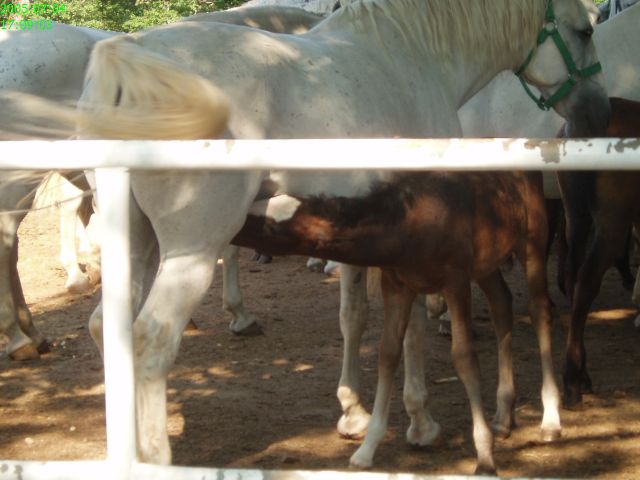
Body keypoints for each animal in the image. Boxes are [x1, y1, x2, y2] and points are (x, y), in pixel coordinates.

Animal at [4, 0, 608, 473]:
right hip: (191, 249)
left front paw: (355, 414)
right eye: (584, 28)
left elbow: (355, 317)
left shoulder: (365, 238)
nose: (595, 111)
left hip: (136, 240)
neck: (410, 56)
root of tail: (126, 65)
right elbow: (408, 327)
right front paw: (420, 421)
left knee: (106, 327)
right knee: (151, 338)